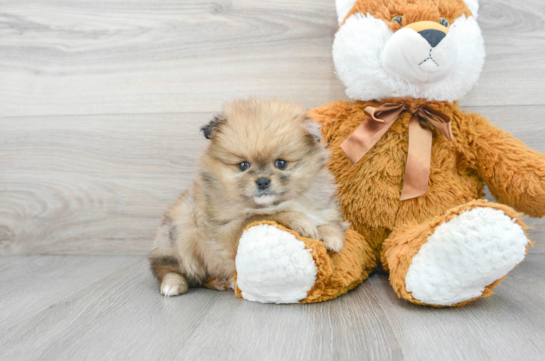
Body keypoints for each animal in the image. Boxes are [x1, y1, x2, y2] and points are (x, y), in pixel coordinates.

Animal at [149, 98, 344, 296]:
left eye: (281, 163)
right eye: (243, 165)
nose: (263, 181)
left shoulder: (324, 209)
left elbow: (329, 223)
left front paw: (331, 236)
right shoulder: (229, 230)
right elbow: (268, 214)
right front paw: (301, 221)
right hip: (180, 231)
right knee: (169, 269)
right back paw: (175, 283)